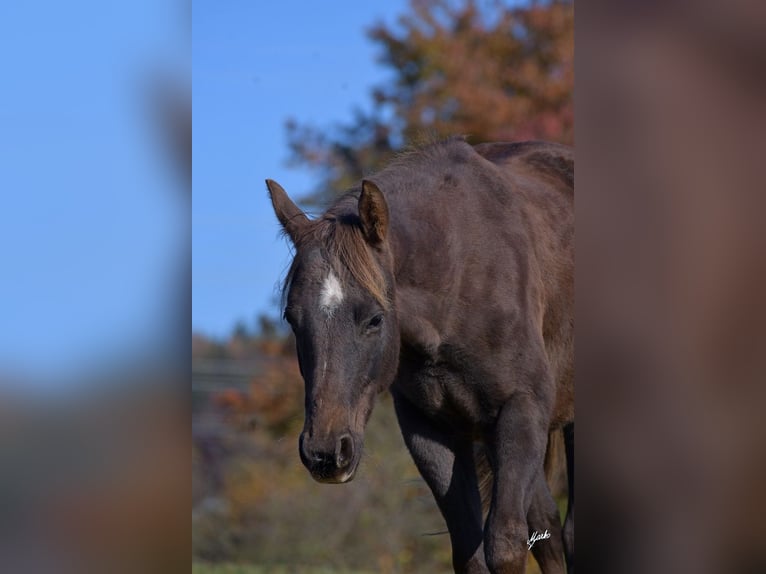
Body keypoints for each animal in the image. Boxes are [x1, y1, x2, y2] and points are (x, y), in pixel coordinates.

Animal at [268, 138, 572, 574]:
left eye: (375, 319)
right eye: (292, 319)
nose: (325, 453)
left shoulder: (522, 410)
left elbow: (506, 546)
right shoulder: (431, 431)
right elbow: (472, 553)